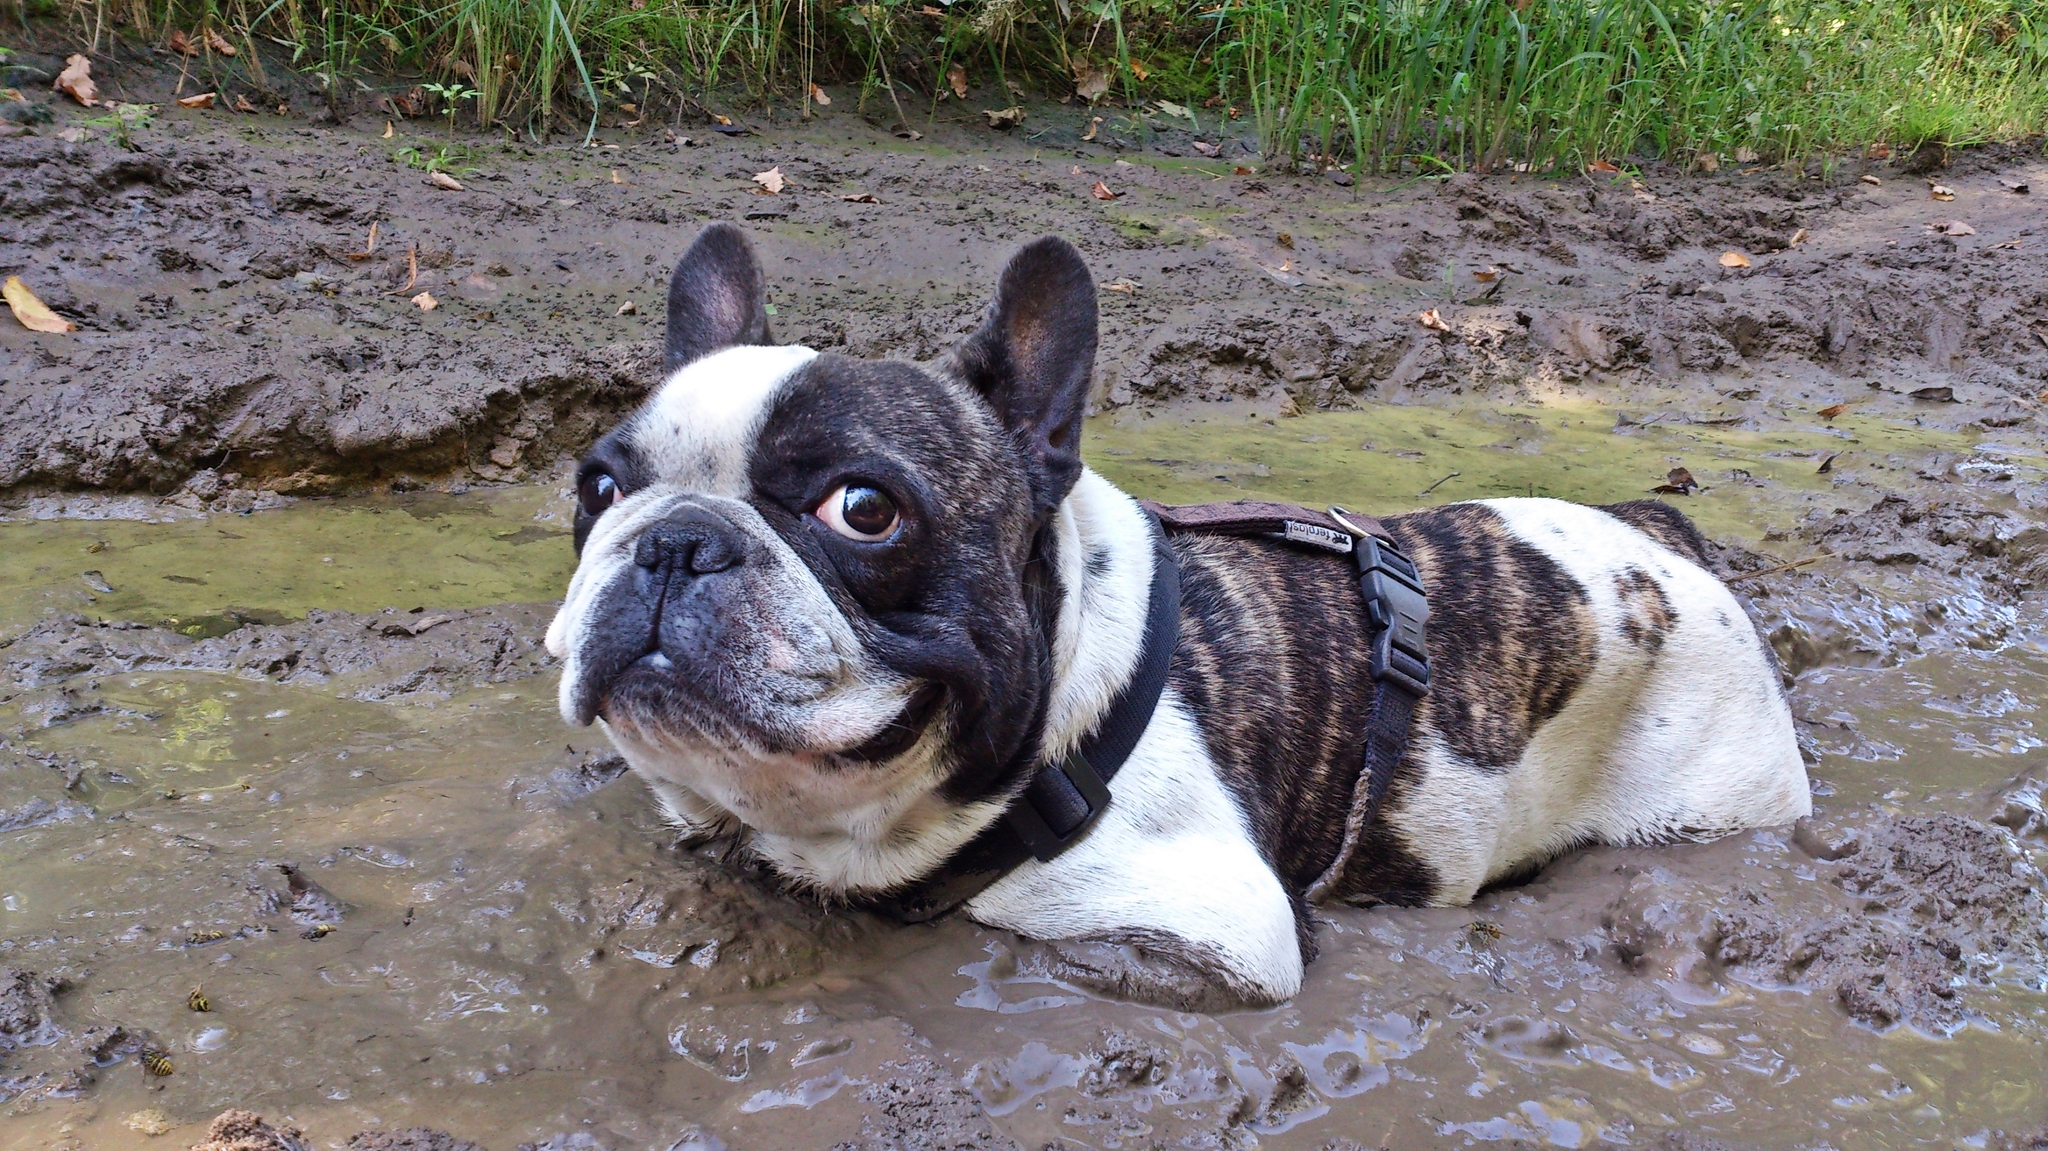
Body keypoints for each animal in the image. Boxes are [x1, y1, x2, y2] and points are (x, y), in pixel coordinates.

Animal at [544, 222, 1810, 1003]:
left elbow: (1017, 933)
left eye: (862, 508)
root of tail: (1660, 536)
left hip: (1712, 802)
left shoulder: (1213, 931)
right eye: (596, 487)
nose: (675, 538)